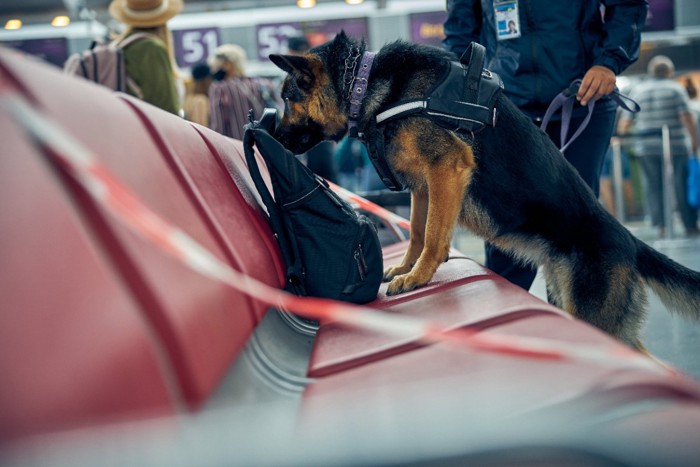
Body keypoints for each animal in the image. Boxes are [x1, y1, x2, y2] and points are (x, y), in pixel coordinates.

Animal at [270, 32, 700, 352]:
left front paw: (420, 275)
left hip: (594, 317)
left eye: (287, 98)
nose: (270, 132)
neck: (363, 81)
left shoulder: (447, 167)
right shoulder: (422, 185)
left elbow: (434, 236)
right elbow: (417, 231)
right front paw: (407, 267)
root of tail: (629, 240)